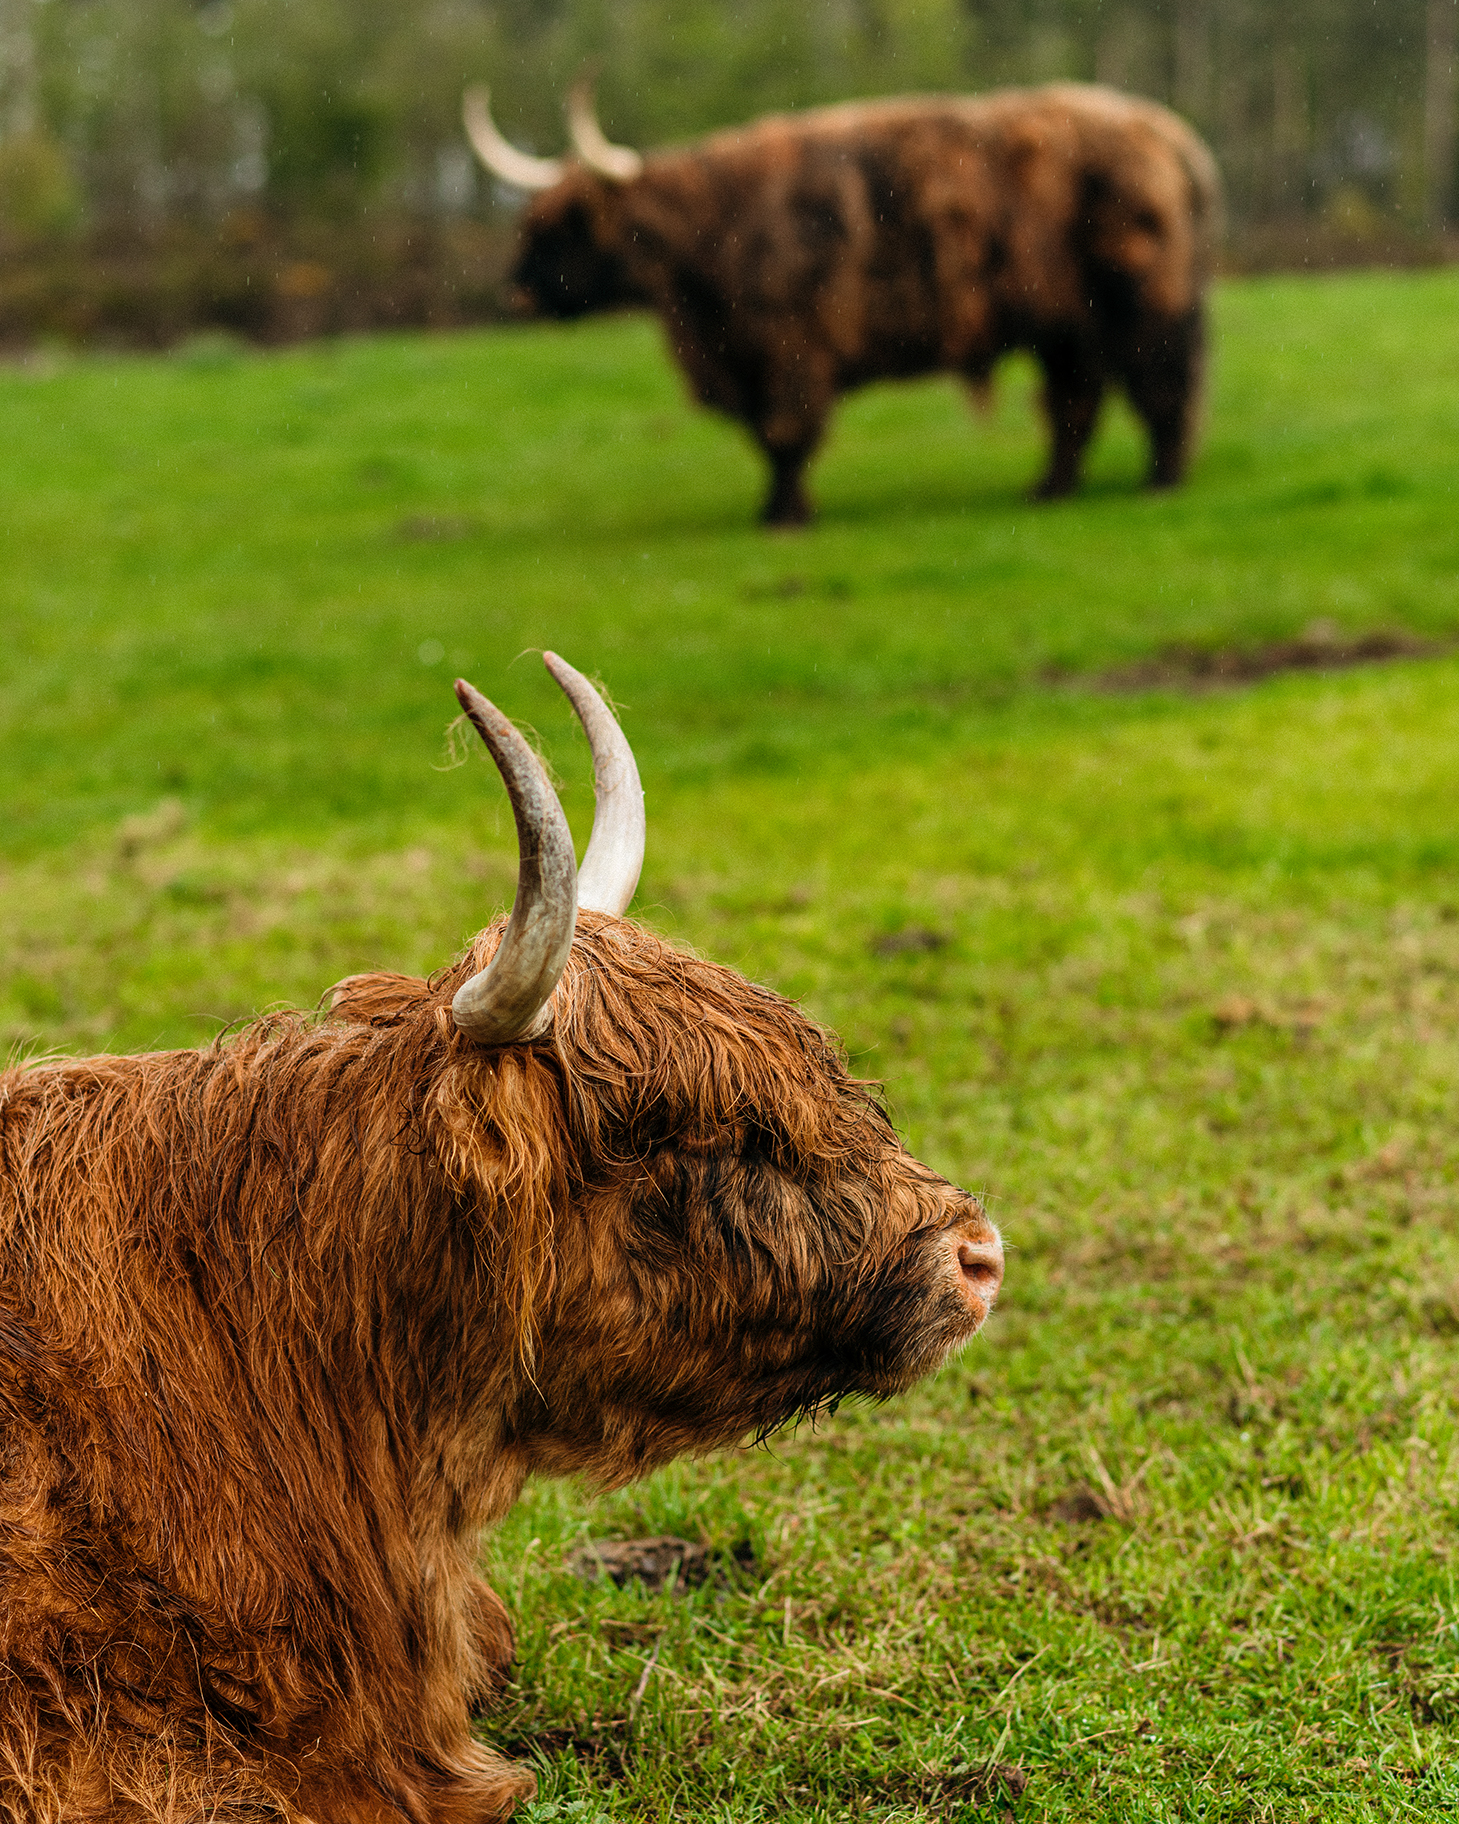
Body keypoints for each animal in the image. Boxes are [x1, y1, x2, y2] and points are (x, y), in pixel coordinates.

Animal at [465, 81, 1221, 525]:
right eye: (528, 223)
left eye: (562, 229)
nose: (516, 292)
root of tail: (1166, 132)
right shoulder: (743, 357)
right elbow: (766, 437)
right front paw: (775, 507)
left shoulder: (789, 347)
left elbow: (784, 433)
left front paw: (784, 516)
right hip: (1065, 326)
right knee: (1074, 403)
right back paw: (1049, 490)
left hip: (1144, 305)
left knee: (1163, 385)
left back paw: (1160, 481)